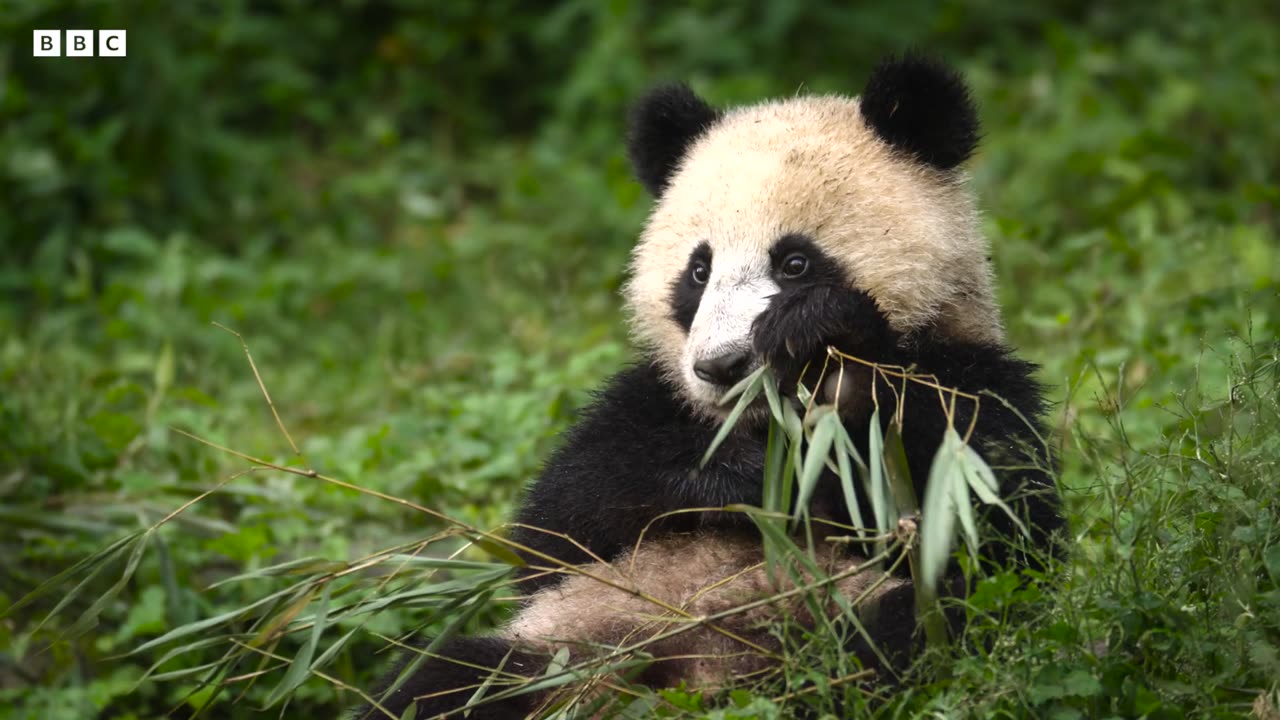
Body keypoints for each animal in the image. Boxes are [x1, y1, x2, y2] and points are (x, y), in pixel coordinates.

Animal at [355, 56, 1064, 717]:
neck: (759, 420)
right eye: (699, 271)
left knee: (913, 630)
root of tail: (694, 681)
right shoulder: (650, 401)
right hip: (576, 634)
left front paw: (824, 346)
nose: (722, 366)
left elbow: (998, 519)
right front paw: (734, 477)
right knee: (449, 681)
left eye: (795, 262)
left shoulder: (975, 379)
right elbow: (557, 531)